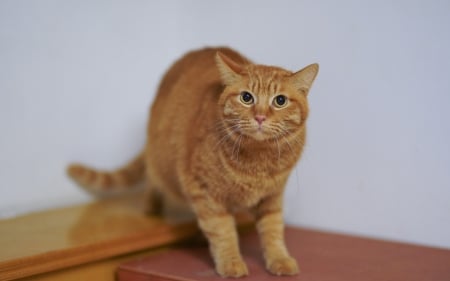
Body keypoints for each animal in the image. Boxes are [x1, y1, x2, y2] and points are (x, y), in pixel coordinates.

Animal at [68, 47, 318, 276]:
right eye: (247, 97)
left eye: (280, 101)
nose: (260, 117)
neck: (258, 159)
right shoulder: (204, 191)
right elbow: (223, 231)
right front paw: (230, 263)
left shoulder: (272, 197)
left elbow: (273, 230)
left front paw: (279, 259)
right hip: (160, 162)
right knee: (152, 179)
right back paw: (152, 206)